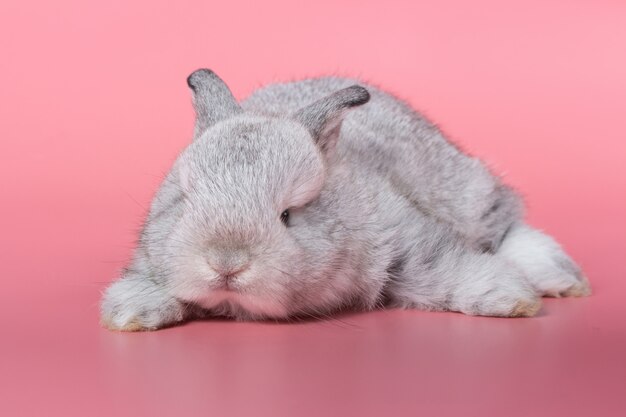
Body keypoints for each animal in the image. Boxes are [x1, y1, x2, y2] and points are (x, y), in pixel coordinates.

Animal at [100, 68, 588, 330]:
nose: (226, 263)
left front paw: (512, 297)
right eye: (184, 199)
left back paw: (560, 279)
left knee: (508, 225)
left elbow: (446, 266)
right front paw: (129, 313)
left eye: (288, 214)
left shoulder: (405, 235)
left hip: (470, 194)